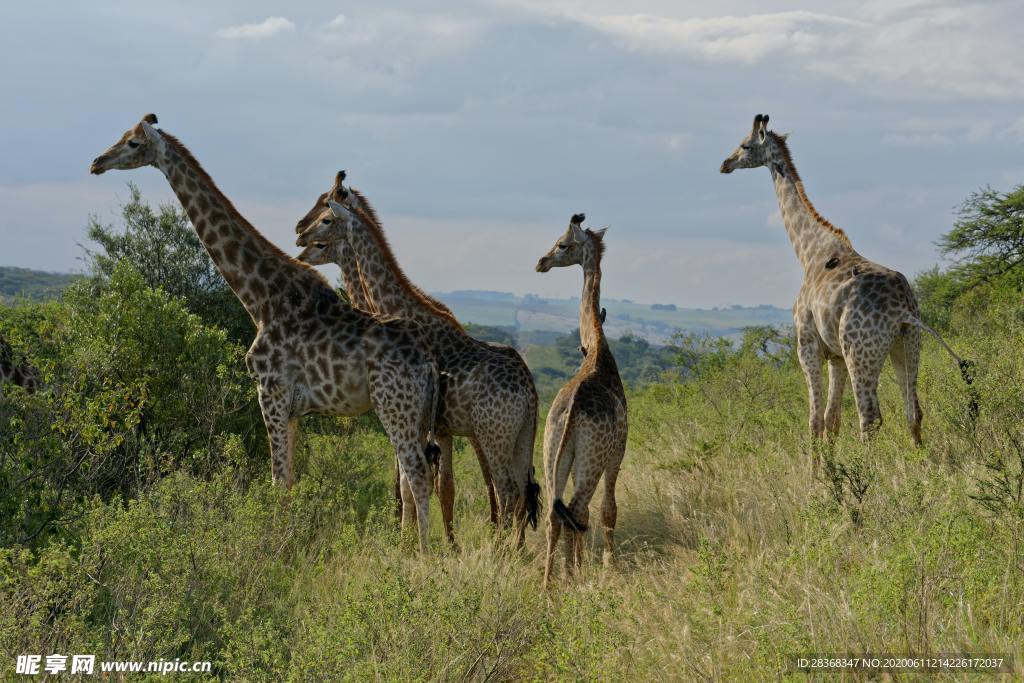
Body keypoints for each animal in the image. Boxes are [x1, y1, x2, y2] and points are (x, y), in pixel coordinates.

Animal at [96, 116, 444, 557]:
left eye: (133, 142)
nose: (96, 162)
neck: (259, 298)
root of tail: (430, 363)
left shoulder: (270, 392)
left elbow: (278, 482)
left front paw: (274, 550)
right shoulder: (292, 408)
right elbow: (290, 481)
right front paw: (289, 542)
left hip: (394, 407)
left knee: (417, 474)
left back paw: (423, 553)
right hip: (413, 414)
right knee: (413, 475)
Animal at [292, 178, 540, 544]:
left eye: (325, 216)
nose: (299, 238)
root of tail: (529, 390)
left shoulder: (420, 421)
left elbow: (413, 484)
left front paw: (411, 540)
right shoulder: (442, 428)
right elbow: (440, 487)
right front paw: (440, 542)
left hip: (492, 432)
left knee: (505, 490)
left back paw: (500, 548)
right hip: (521, 433)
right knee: (522, 490)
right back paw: (516, 549)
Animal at [532, 214, 626, 589]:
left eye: (562, 244)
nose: (541, 262)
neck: (596, 349)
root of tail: (572, 411)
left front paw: (580, 565)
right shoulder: (617, 453)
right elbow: (608, 509)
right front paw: (608, 567)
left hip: (551, 451)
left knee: (556, 513)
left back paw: (549, 584)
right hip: (591, 458)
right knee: (575, 508)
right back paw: (568, 577)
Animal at [716, 114, 970, 446]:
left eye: (745, 145)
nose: (725, 164)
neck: (808, 251)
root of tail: (904, 310)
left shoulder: (807, 345)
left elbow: (814, 421)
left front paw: (814, 464)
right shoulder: (834, 354)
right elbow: (831, 420)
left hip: (860, 353)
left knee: (870, 417)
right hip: (907, 345)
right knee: (913, 411)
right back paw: (921, 461)